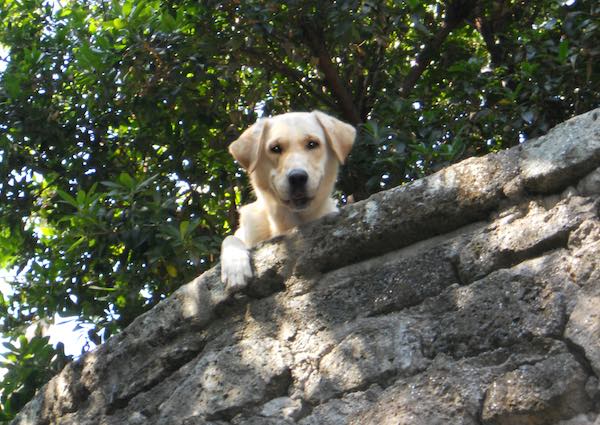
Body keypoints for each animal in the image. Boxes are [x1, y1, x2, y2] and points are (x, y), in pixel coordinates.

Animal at [221, 110, 356, 292]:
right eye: (275, 148)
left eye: (312, 144)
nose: (297, 177)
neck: (288, 223)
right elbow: (230, 239)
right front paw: (235, 268)